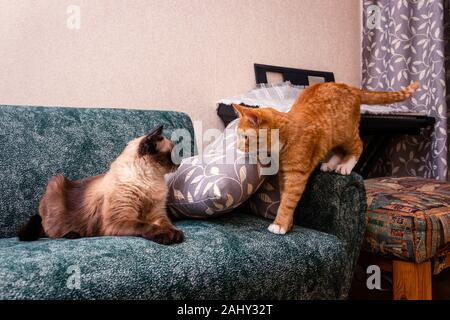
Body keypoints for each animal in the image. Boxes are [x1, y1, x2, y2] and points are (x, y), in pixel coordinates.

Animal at [234, 81, 420, 234]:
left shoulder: (296, 175)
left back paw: (345, 166)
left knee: (357, 146)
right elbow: (284, 196)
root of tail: (348, 86)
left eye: (245, 137)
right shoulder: (284, 175)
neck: (284, 135)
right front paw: (288, 223)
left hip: (346, 132)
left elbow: (288, 201)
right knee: (338, 150)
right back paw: (330, 165)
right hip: (333, 137)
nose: (237, 148)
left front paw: (280, 224)